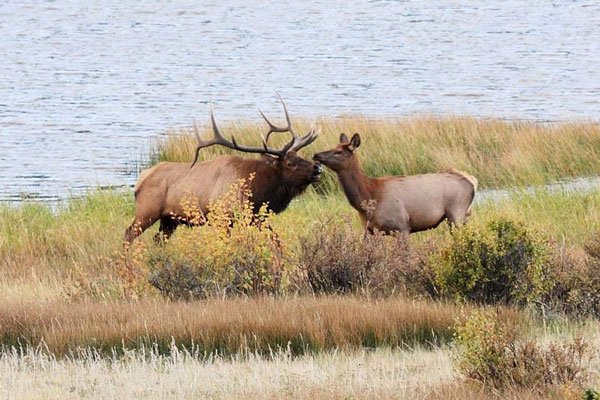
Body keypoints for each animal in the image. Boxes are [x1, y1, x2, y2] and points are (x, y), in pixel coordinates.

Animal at [123, 98, 324, 245]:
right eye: (290, 163)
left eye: (300, 156)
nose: (317, 167)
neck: (257, 191)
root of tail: (142, 179)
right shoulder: (223, 217)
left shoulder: (257, 218)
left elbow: (276, 240)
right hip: (146, 211)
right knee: (128, 233)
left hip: (169, 219)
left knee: (158, 239)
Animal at [314, 134, 478, 234]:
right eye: (334, 147)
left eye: (339, 152)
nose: (316, 154)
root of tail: (472, 181)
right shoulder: (370, 230)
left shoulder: (402, 227)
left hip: (457, 213)